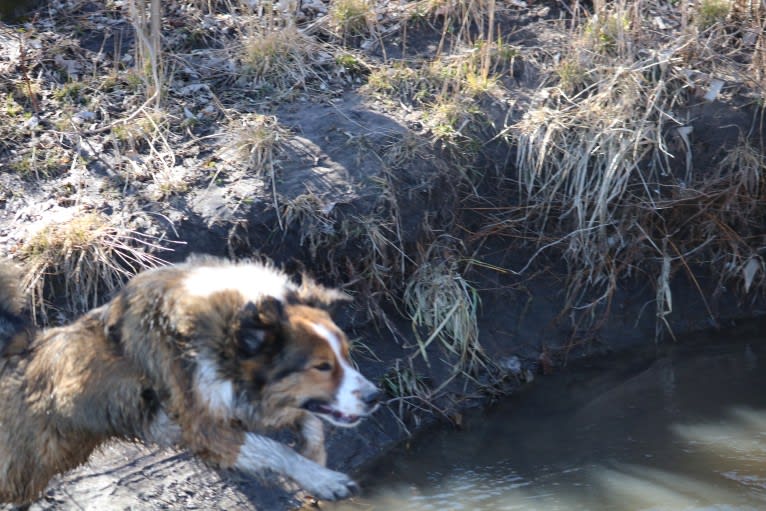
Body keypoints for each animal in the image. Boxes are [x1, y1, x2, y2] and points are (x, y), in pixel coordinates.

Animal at [0, 258, 382, 506]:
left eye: (345, 355)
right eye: (321, 366)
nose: (376, 397)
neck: (227, 331)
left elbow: (310, 424)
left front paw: (316, 461)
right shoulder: (203, 426)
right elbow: (272, 448)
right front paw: (324, 479)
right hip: (27, 462)